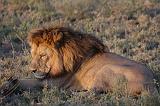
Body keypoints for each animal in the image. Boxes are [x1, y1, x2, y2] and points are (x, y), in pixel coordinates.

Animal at [26, 26, 157, 96]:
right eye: (33, 55)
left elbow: (28, 82)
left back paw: (70, 93)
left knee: (93, 92)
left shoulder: (56, 82)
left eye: (43, 56)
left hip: (105, 69)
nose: (32, 70)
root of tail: (152, 85)